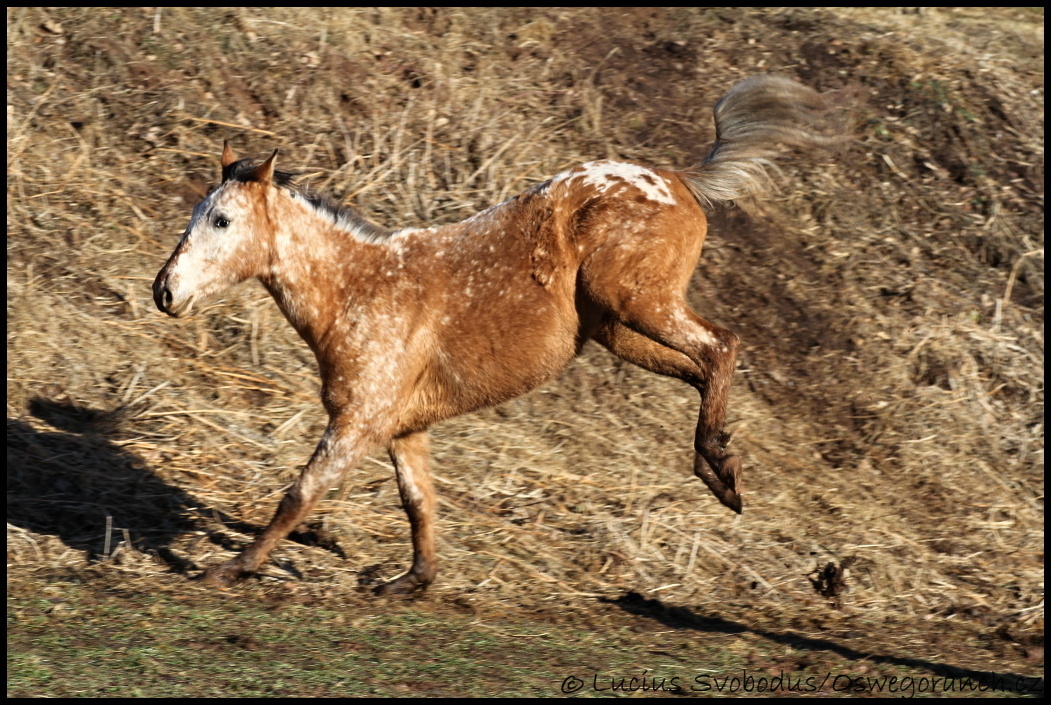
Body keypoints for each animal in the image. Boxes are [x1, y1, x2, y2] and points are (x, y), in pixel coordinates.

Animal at [155, 73, 845, 596]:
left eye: (221, 219)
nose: (164, 291)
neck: (360, 289)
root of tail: (677, 180)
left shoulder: (356, 424)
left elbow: (299, 494)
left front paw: (231, 569)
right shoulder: (401, 428)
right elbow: (419, 504)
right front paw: (410, 582)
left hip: (639, 303)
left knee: (720, 346)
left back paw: (720, 471)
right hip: (619, 330)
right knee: (703, 366)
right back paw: (719, 465)